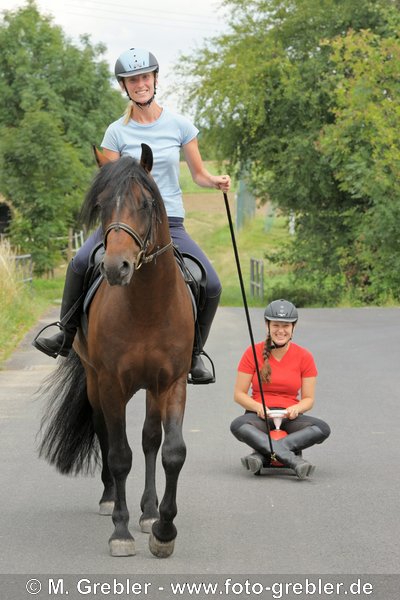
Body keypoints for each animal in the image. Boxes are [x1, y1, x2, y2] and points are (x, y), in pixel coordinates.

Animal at [37, 145, 194, 556]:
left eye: (145, 203)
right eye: (102, 204)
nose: (115, 267)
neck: (147, 305)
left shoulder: (172, 382)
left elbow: (172, 451)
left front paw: (164, 530)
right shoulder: (111, 383)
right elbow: (120, 455)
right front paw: (120, 532)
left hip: (151, 387)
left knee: (150, 440)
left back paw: (149, 512)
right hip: (96, 382)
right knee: (105, 432)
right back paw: (110, 499)